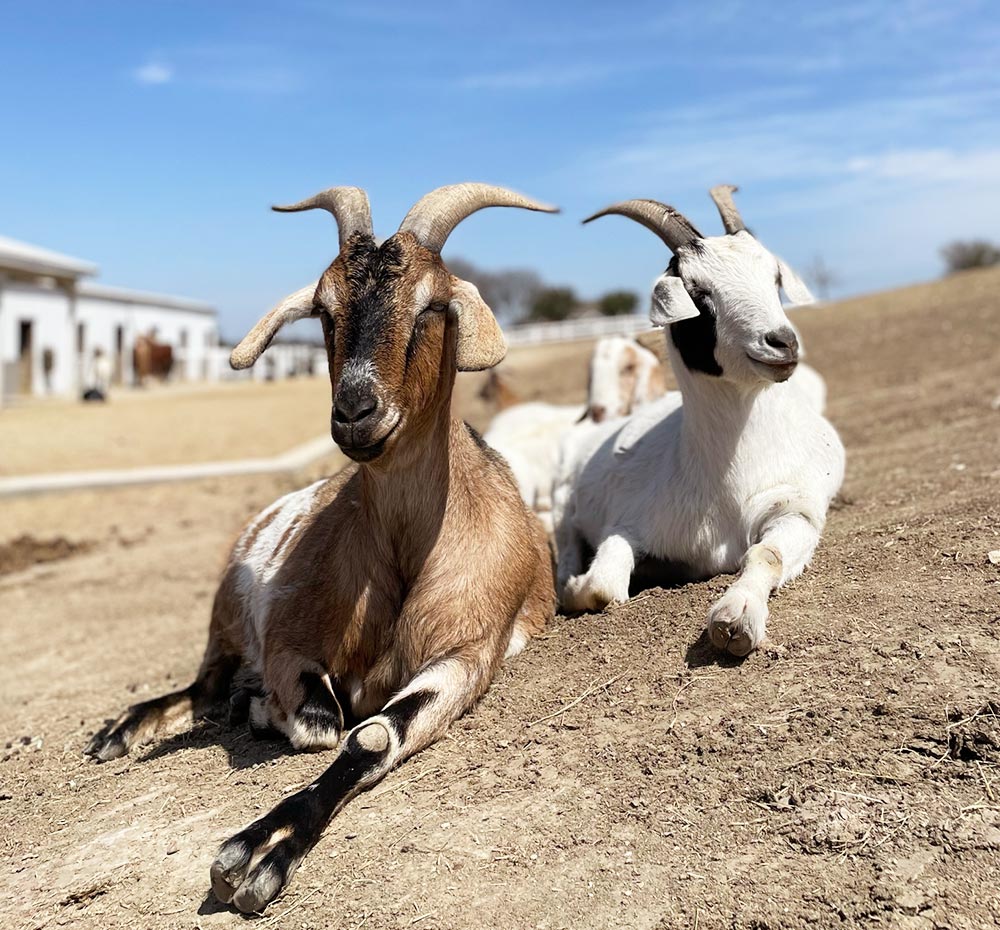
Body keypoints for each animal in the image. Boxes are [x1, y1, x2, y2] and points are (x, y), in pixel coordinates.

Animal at [84, 183, 558, 913]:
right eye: (325, 309)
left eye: (432, 304)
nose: (356, 411)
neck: (407, 556)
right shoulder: (286, 638)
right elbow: (320, 721)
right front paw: (262, 730)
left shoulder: (468, 655)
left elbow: (368, 733)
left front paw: (260, 853)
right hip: (225, 614)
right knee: (203, 683)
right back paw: (125, 728)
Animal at [554, 185, 845, 656]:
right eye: (699, 292)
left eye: (774, 279)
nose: (782, 343)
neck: (728, 478)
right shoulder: (630, 521)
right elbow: (601, 584)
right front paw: (583, 586)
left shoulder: (797, 511)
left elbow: (767, 554)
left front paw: (736, 616)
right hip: (561, 498)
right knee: (565, 539)